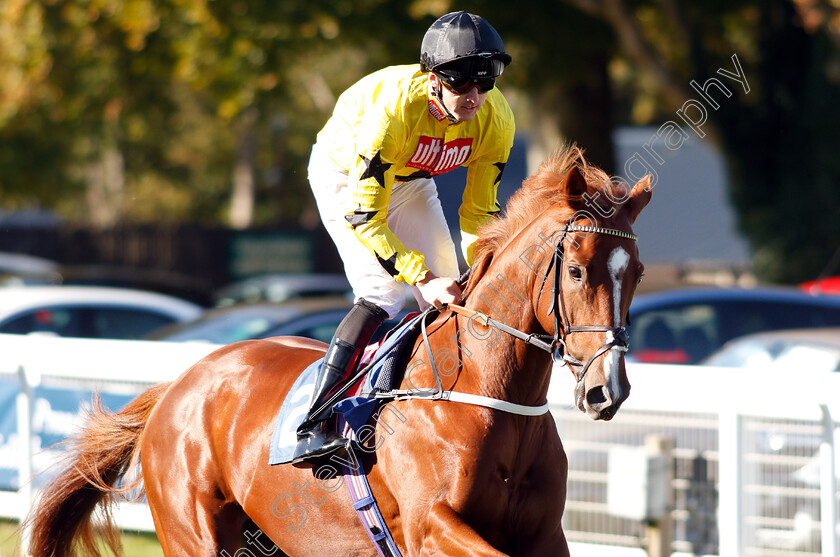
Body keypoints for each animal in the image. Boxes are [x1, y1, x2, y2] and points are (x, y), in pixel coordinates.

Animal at [29, 146, 652, 552]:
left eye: (638, 273)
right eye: (576, 270)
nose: (608, 390)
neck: (484, 392)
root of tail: (177, 386)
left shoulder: (544, 535)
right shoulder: (431, 526)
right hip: (195, 534)